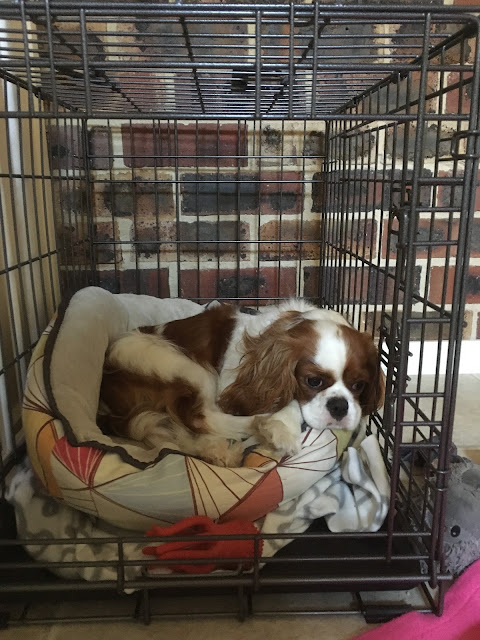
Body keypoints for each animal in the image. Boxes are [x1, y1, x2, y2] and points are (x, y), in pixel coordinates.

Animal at [99, 300, 384, 464]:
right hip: (186, 366)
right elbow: (288, 400)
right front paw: (282, 429)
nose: (340, 407)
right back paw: (255, 428)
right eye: (313, 381)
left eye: (359, 385)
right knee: (200, 418)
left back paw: (216, 451)